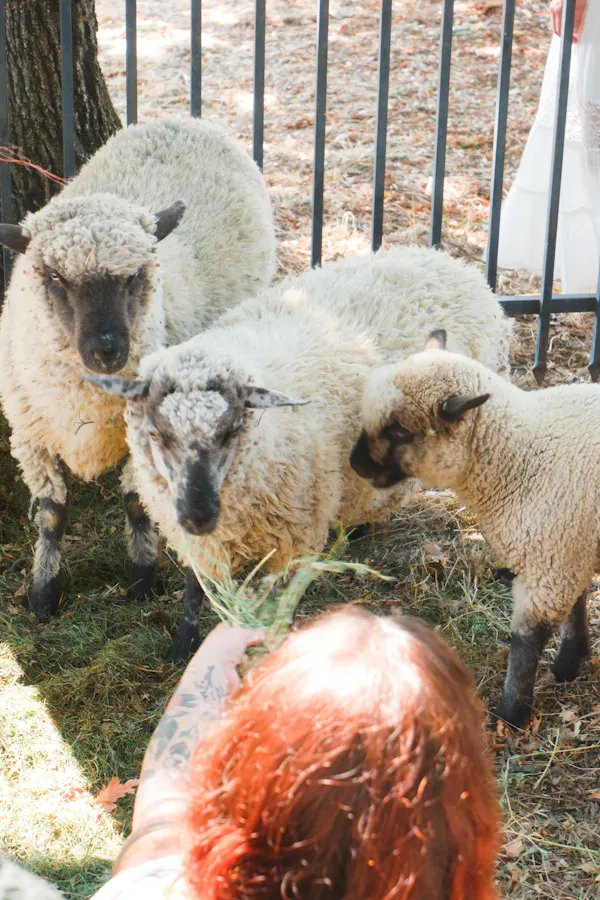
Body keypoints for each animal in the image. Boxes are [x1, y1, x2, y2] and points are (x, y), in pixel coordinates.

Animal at [0, 117, 276, 618]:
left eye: (134, 275)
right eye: (55, 277)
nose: (107, 350)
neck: (83, 397)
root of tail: (186, 120)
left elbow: (134, 501)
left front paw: (143, 576)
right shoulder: (31, 434)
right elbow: (51, 513)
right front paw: (43, 591)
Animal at [90, 246, 510, 661]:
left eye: (232, 431)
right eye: (156, 434)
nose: (198, 514)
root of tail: (450, 261)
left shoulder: (294, 540)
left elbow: (278, 607)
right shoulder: (200, 540)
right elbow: (197, 587)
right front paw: (183, 646)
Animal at [350, 328, 600, 728]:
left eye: (401, 430)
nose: (355, 464)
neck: (523, 456)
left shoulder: (552, 560)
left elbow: (526, 641)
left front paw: (510, 714)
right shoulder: (566, 550)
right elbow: (576, 608)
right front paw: (568, 665)